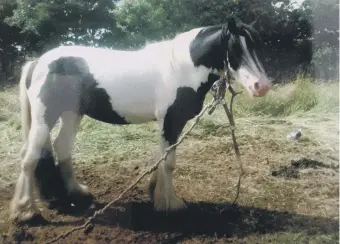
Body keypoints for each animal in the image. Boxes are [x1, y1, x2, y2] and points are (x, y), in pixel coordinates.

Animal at [9, 17, 270, 223]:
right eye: (234, 47)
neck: (181, 67)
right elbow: (169, 162)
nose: (262, 86)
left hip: (71, 114)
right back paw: (26, 211)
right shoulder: (171, 121)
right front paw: (171, 204)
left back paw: (76, 193)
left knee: (61, 147)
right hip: (46, 117)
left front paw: (156, 195)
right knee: (29, 158)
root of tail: (38, 62)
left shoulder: (169, 123)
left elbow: (161, 158)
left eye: (257, 45)